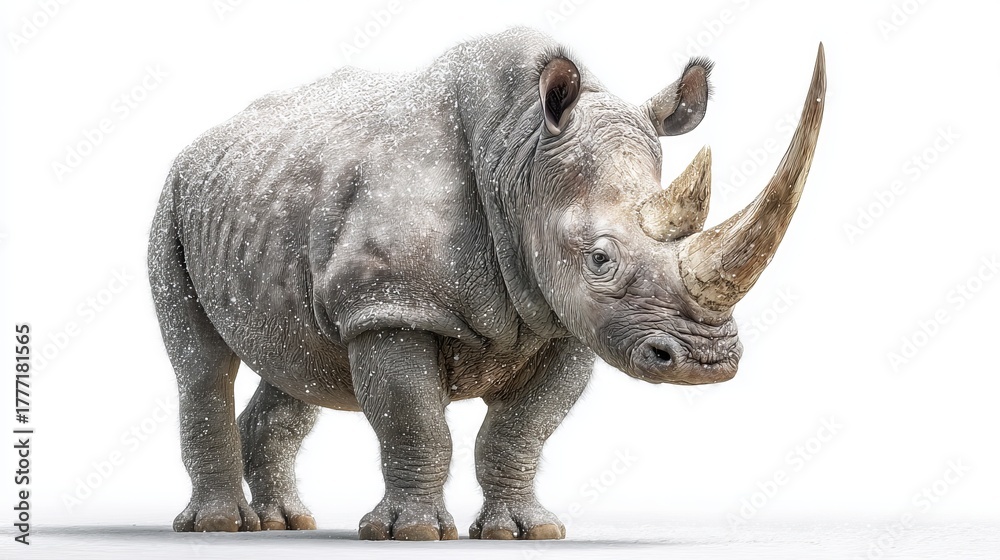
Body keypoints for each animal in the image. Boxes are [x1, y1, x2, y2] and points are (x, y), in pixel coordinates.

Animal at [148, 27, 825, 540]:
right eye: (600, 259)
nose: (707, 361)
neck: (520, 153)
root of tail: (201, 142)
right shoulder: (392, 305)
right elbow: (414, 422)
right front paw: (412, 534)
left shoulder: (566, 321)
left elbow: (520, 430)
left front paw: (524, 532)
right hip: (173, 203)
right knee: (203, 365)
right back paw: (220, 526)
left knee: (300, 362)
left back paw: (287, 523)